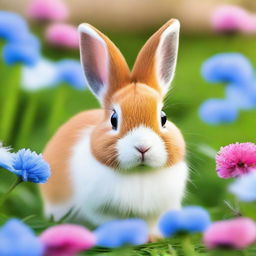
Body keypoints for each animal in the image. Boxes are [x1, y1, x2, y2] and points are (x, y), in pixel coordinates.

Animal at [39, 19, 188, 239]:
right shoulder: (100, 211)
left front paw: (154, 237)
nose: (142, 147)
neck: (139, 173)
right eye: (114, 119)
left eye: (163, 118)